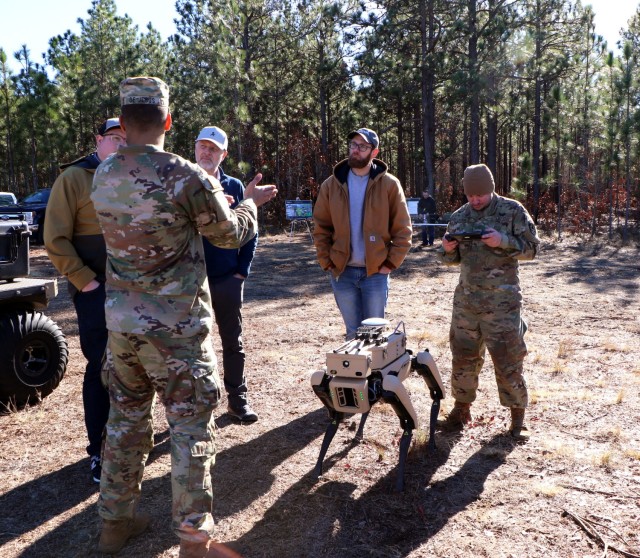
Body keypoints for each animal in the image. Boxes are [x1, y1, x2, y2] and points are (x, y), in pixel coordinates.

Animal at [312, 322, 444, 492]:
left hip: (412, 366)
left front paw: (399, 483)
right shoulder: (323, 383)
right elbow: (334, 421)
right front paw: (317, 469)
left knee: (430, 376)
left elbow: (409, 425)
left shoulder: (390, 385)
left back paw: (432, 443)